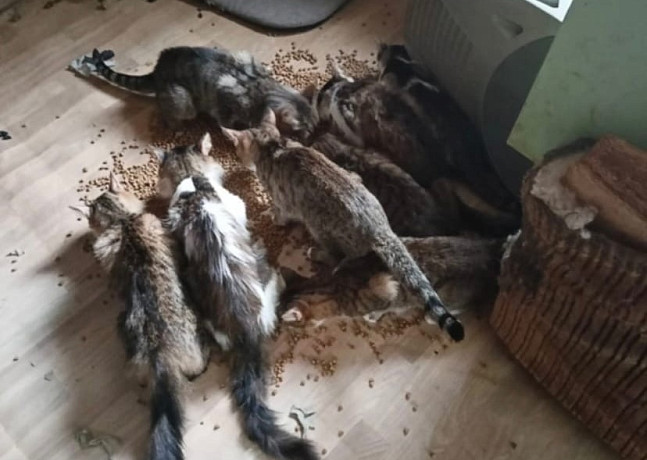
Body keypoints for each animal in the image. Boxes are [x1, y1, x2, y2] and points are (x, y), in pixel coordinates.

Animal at [89, 47, 317, 142]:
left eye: (316, 126)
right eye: (302, 129)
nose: (312, 139)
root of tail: (158, 68)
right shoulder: (225, 102)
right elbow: (228, 124)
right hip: (183, 100)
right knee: (166, 110)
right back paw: (176, 127)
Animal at [280, 236, 504, 324]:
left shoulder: (386, 290)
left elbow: (386, 304)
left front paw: (372, 316)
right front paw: (316, 252)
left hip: (454, 297)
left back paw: (431, 317)